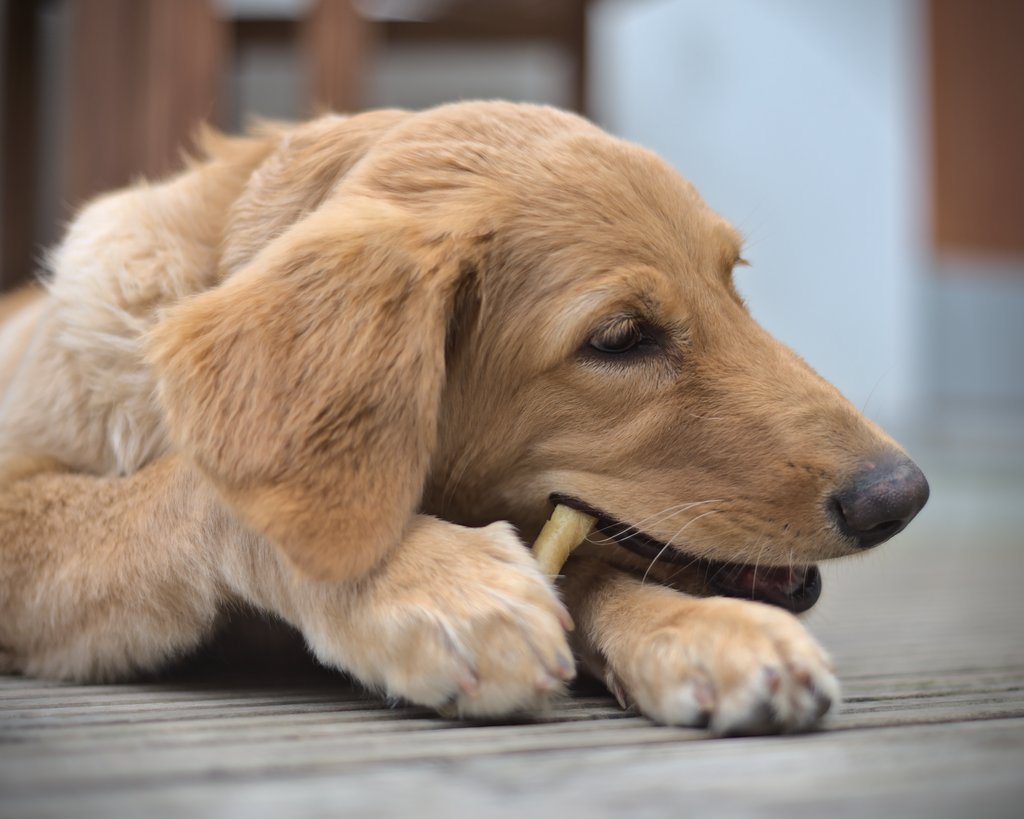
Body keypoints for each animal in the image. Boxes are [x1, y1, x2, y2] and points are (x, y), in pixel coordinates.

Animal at [0, 100, 929, 737]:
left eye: (733, 282)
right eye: (620, 337)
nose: (902, 495)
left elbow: (586, 569)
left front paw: (697, 631)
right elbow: (200, 489)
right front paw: (439, 585)